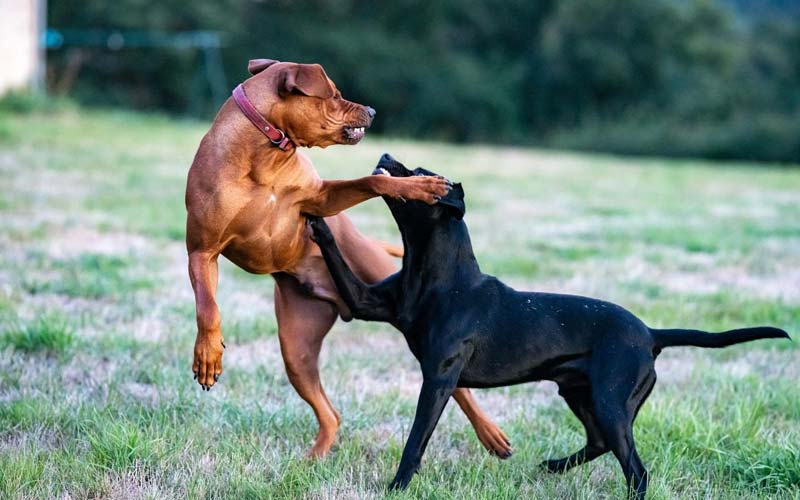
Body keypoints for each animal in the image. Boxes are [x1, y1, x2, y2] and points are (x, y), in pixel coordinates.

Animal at [186, 58, 512, 458]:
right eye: (335, 94)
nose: (372, 110)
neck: (265, 155)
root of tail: (338, 302)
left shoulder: (320, 199)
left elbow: (373, 181)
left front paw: (416, 186)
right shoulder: (201, 252)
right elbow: (208, 307)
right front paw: (207, 355)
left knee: (459, 388)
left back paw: (491, 434)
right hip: (296, 350)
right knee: (331, 413)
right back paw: (314, 459)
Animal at [304, 154, 788, 498]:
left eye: (422, 173)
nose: (386, 153)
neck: (437, 273)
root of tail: (651, 335)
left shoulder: (439, 377)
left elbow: (416, 438)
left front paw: (397, 486)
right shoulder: (366, 303)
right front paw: (316, 218)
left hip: (611, 403)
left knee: (636, 470)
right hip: (580, 394)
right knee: (600, 444)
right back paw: (553, 466)